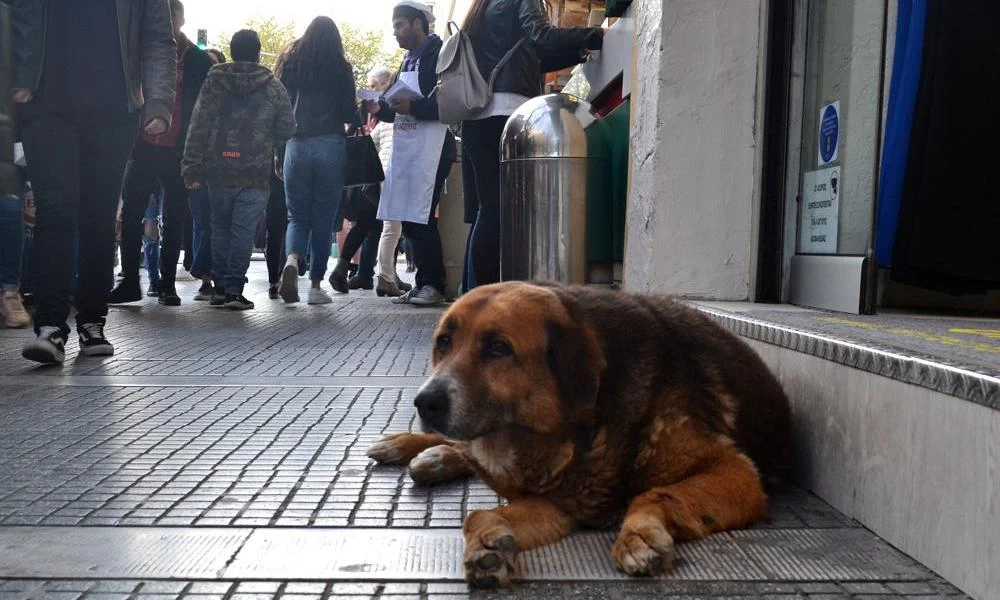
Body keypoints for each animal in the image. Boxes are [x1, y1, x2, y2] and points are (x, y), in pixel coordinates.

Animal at [368, 284, 788, 588]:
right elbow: (478, 514)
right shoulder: (555, 501)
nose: (425, 402)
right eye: (444, 342)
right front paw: (487, 541)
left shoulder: (733, 470)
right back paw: (415, 449)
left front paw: (637, 536)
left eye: (498, 348)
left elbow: (655, 493)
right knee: (462, 449)